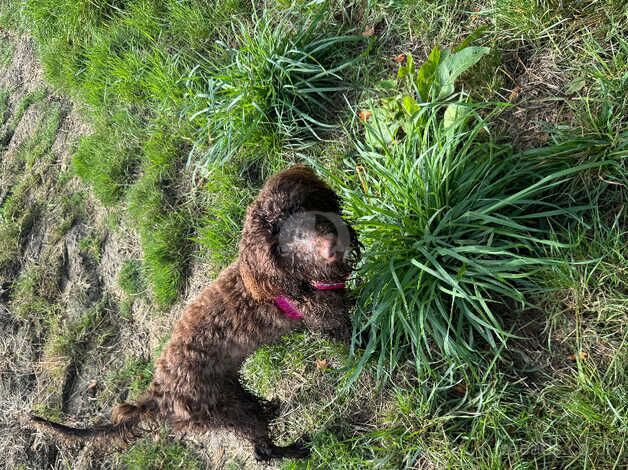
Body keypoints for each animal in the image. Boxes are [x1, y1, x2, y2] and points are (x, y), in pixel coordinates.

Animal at [28, 164, 358, 458]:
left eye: (302, 214)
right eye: (283, 248)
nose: (330, 247)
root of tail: (157, 394)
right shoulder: (327, 317)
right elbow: (352, 338)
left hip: (228, 394)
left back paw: (271, 409)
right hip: (227, 411)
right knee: (260, 450)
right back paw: (296, 450)